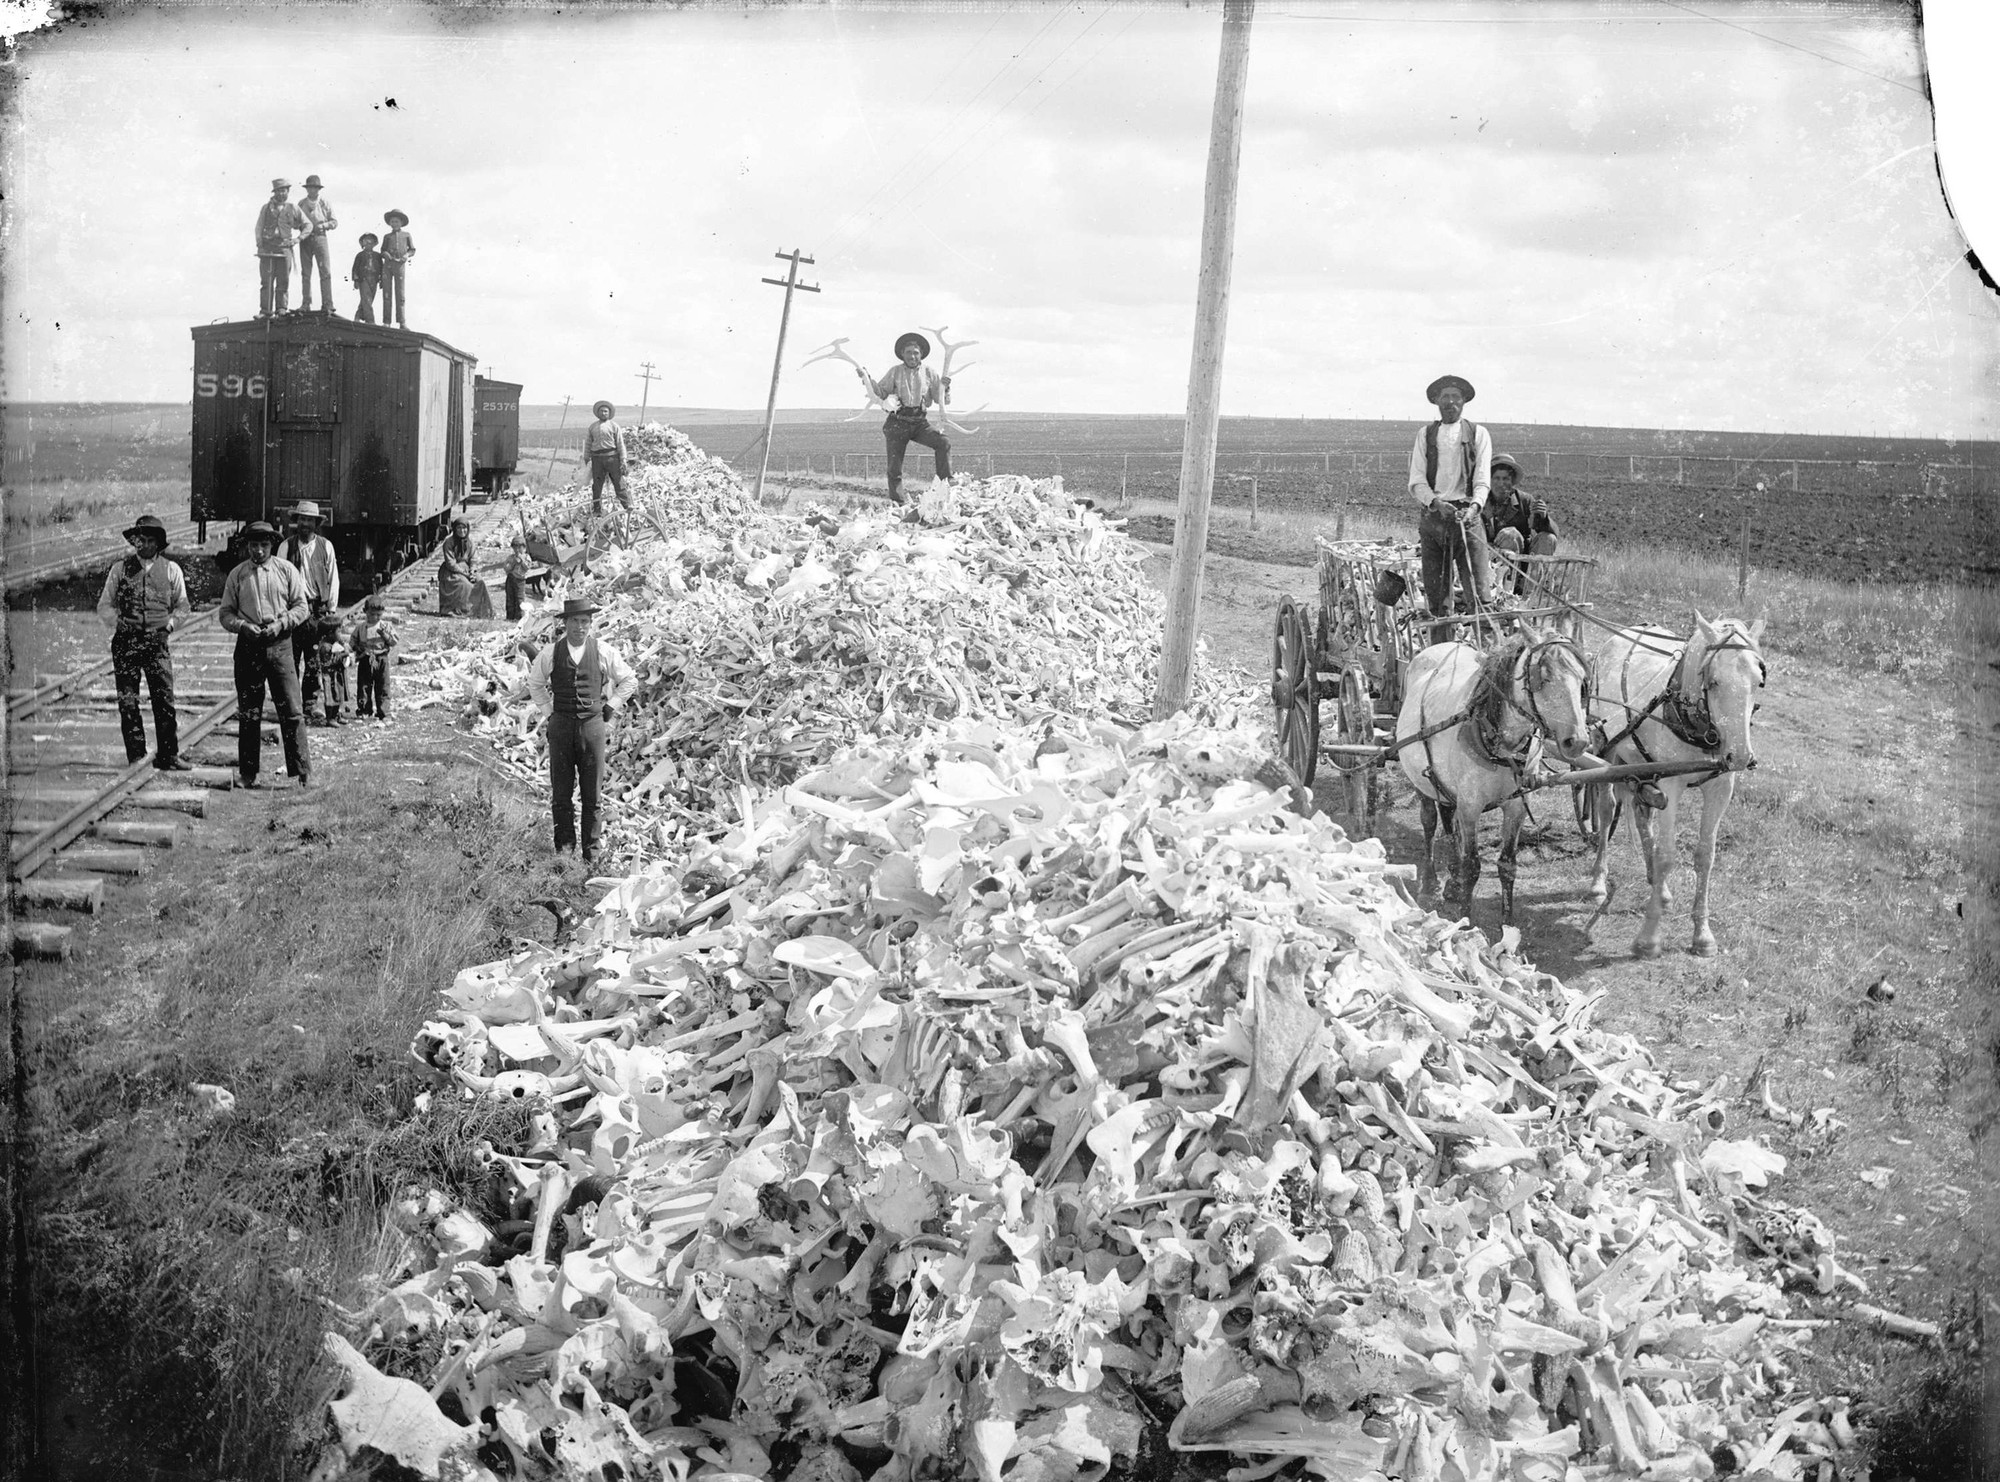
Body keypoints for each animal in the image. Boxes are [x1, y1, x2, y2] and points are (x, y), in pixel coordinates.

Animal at [1392, 624, 1592, 924]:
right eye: (1542, 677)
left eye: (1582, 680)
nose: (1577, 741)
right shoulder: (1471, 805)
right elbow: (1472, 865)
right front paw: (1465, 922)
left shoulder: (1516, 805)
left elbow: (1507, 865)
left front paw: (1508, 927)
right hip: (1419, 778)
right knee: (1429, 821)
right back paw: (1430, 884)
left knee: (1448, 820)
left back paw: (1452, 882)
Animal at [1592, 612, 1768, 960]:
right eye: (1714, 682)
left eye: (1758, 681)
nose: (1741, 756)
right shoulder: (1670, 783)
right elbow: (1667, 855)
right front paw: (1648, 940)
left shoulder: (1721, 786)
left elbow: (1705, 856)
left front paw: (1703, 935)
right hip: (1608, 748)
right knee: (1607, 810)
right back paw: (1599, 883)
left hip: (1640, 765)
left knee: (1641, 812)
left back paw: (1656, 885)